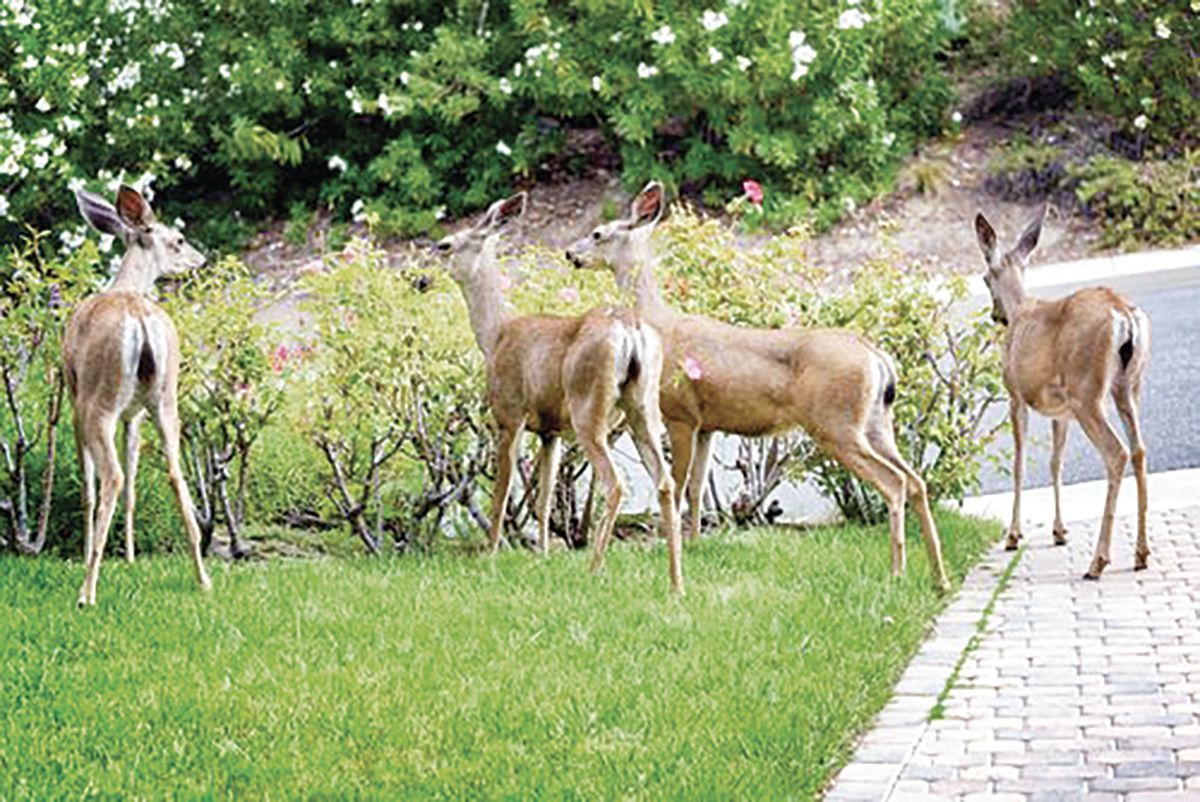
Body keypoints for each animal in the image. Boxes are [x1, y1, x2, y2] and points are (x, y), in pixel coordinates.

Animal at [66, 185, 212, 607]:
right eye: (178, 240)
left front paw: (89, 554)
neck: (125, 287)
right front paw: (130, 556)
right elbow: (133, 479)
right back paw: (203, 577)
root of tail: (141, 319)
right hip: (165, 400)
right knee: (174, 474)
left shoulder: (72, 395)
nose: (201, 259)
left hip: (98, 401)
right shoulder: (135, 414)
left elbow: (89, 485)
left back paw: (87, 590)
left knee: (111, 477)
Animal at [436, 192, 683, 594]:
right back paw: (676, 583)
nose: (418, 279)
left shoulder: (509, 414)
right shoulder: (549, 430)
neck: (495, 334)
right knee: (665, 483)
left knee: (613, 484)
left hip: (588, 407)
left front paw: (490, 557)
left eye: (444, 245)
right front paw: (543, 556)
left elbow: (501, 495)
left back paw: (593, 570)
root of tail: (630, 328)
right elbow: (545, 497)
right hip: (643, 407)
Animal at [566, 183, 949, 592]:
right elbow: (698, 486)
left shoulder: (680, 413)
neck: (659, 323)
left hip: (837, 423)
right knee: (916, 480)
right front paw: (696, 543)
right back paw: (938, 577)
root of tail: (877, 357)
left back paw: (897, 572)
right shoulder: (707, 424)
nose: (570, 253)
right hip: (876, 422)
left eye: (598, 234)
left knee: (894, 482)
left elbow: (679, 482)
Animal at [974, 206, 1150, 579]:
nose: (997, 316)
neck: (1021, 309)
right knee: (1139, 450)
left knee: (1117, 453)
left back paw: (1098, 561)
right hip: (1128, 386)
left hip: (1088, 392)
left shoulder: (1016, 396)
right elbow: (1056, 463)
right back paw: (1141, 554)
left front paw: (1013, 535)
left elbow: (1019, 463)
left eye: (984, 277)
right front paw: (1059, 531)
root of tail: (1123, 315)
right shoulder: (1061, 411)